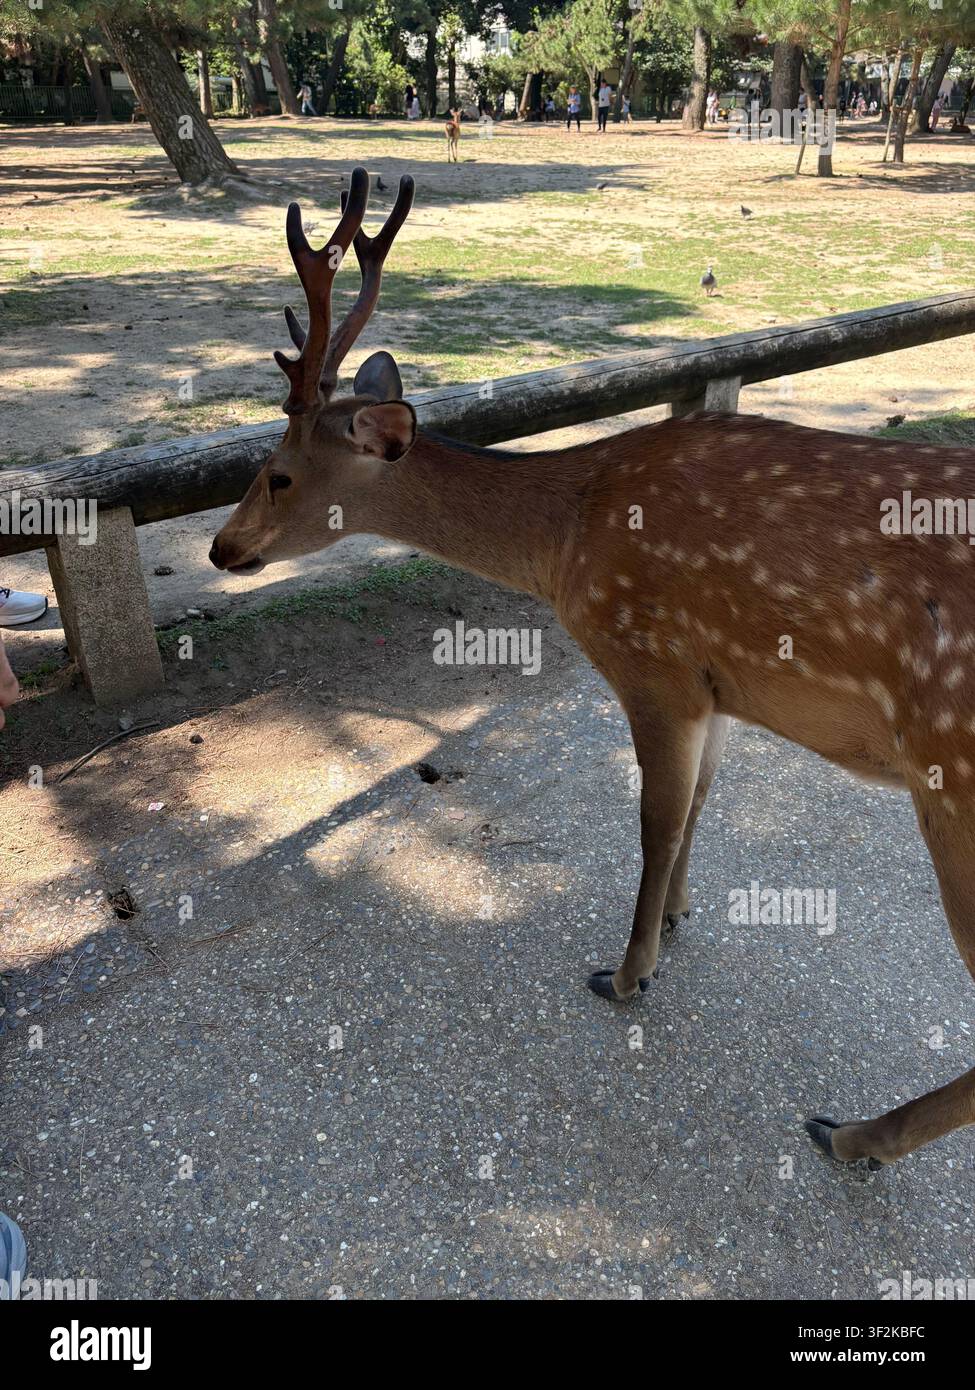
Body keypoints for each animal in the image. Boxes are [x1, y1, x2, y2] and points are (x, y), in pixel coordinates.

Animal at [210, 166, 975, 1173]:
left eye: (278, 474)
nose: (220, 549)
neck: (566, 541)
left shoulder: (649, 660)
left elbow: (653, 820)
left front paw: (626, 971)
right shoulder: (715, 683)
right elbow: (699, 802)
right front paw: (680, 918)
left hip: (954, 780)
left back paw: (851, 1134)